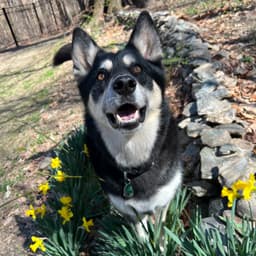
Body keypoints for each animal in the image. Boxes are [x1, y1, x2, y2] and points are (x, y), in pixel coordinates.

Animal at [53, 11, 182, 236]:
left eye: (137, 68)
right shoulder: (130, 212)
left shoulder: (162, 202)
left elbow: (160, 232)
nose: (124, 84)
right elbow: (141, 235)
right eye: (101, 75)